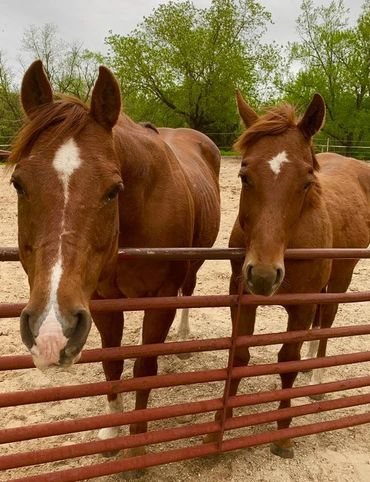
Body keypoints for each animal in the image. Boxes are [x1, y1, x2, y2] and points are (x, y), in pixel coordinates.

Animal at [8, 62, 221, 450]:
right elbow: (113, 363)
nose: (51, 331)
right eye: (18, 184)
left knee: (189, 290)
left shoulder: (161, 300)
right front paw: (112, 429)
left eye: (113, 190)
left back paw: (182, 341)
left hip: (194, 263)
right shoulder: (101, 302)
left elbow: (144, 370)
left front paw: (137, 440)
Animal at [211, 92, 370, 458]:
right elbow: (239, 356)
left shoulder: (301, 306)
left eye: (306, 182)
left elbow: (288, 360)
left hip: (340, 279)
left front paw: (283, 434)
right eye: (244, 175)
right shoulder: (242, 298)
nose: (264, 274)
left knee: (325, 326)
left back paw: (316, 383)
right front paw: (218, 427)